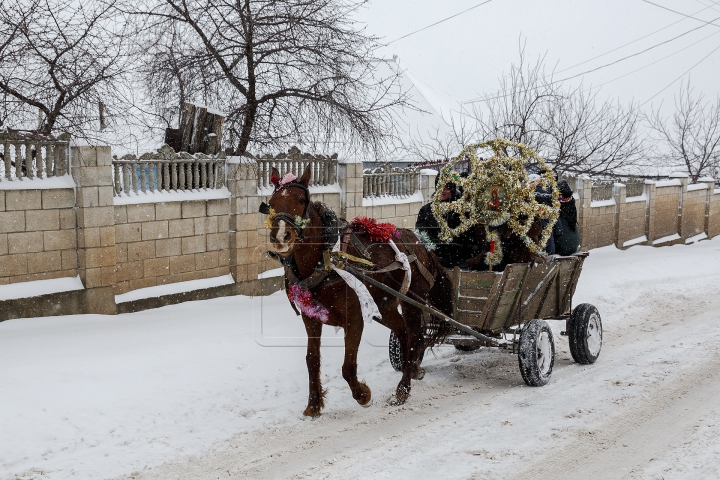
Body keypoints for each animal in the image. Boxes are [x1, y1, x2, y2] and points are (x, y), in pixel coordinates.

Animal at [268, 165, 452, 416]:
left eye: (301, 200)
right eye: (271, 202)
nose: (280, 237)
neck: (326, 261)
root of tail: (421, 243)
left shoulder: (354, 319)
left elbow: (348, 367)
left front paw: (363, 394)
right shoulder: (311, 318)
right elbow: (312, 359)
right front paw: (314, 405)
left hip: (413, 303)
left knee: (415, 338)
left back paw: (403, 390)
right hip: (386, 305)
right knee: (405, 334)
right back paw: (412, 369)